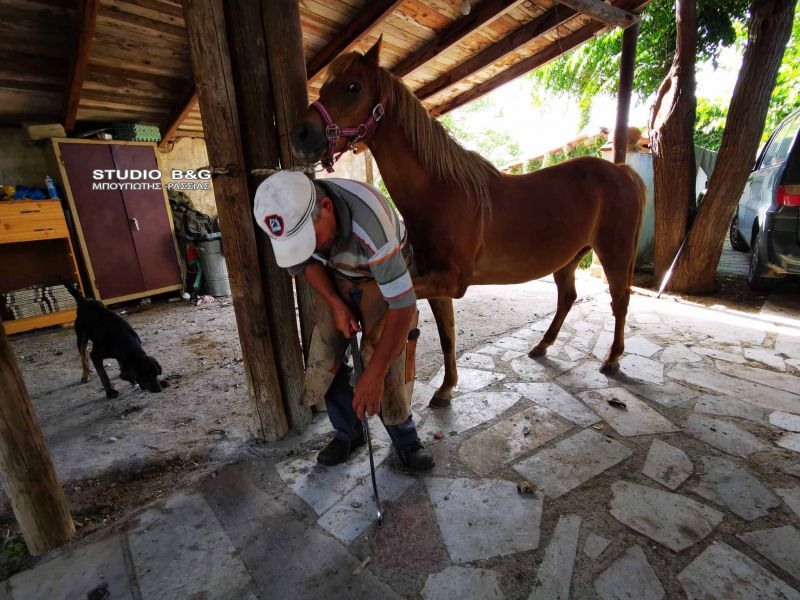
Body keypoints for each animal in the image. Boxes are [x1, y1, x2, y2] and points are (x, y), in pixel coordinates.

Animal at [290, 39, 648, 408]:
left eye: (353, 87)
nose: (301, 134)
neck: (442, 193)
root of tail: (623, 171)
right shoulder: (435, 283)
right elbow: (447, 335)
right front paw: (446, 388)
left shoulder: (451, 281)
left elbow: (383, 306)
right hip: (569, 258)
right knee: (568, 297)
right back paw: (542, 346)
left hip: (614, 254)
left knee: (620, 300)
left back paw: (612, 359)